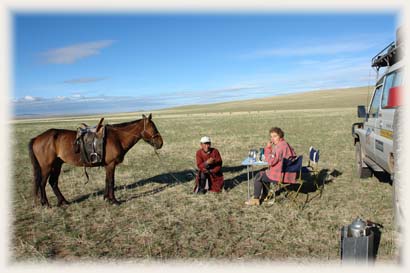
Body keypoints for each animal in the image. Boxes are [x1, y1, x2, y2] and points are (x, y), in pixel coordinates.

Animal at [28, 113, 163, 206]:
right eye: (153, 127)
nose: (160, 143)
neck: (117, 137)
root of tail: (36, 138)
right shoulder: (111, 164)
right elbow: (111, 181)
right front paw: (114, 200)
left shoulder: (108, 165)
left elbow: (107, 181)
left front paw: (106, 198)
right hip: (46, 167)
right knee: (42, 183)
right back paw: (46, 203)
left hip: (57, 165)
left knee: (53, 182)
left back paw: (64, 201)